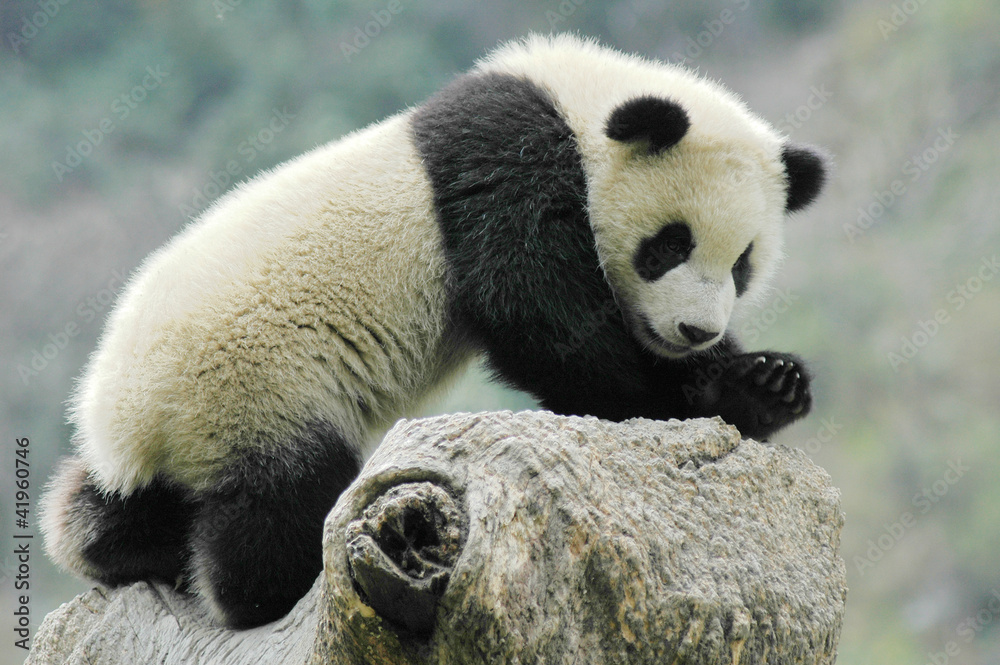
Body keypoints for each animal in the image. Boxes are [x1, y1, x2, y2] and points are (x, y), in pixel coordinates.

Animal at [41, 34, 826, 629]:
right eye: (668, 245)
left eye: (743, 264)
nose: (695, 330)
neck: (576, 101)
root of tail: (125, 422)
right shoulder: (511, 164)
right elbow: (540, 314)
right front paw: (691, 396)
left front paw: (767, 382)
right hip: (255, 382)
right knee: (277, 501)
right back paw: (259, 590)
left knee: (112, 509)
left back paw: (116, 543)